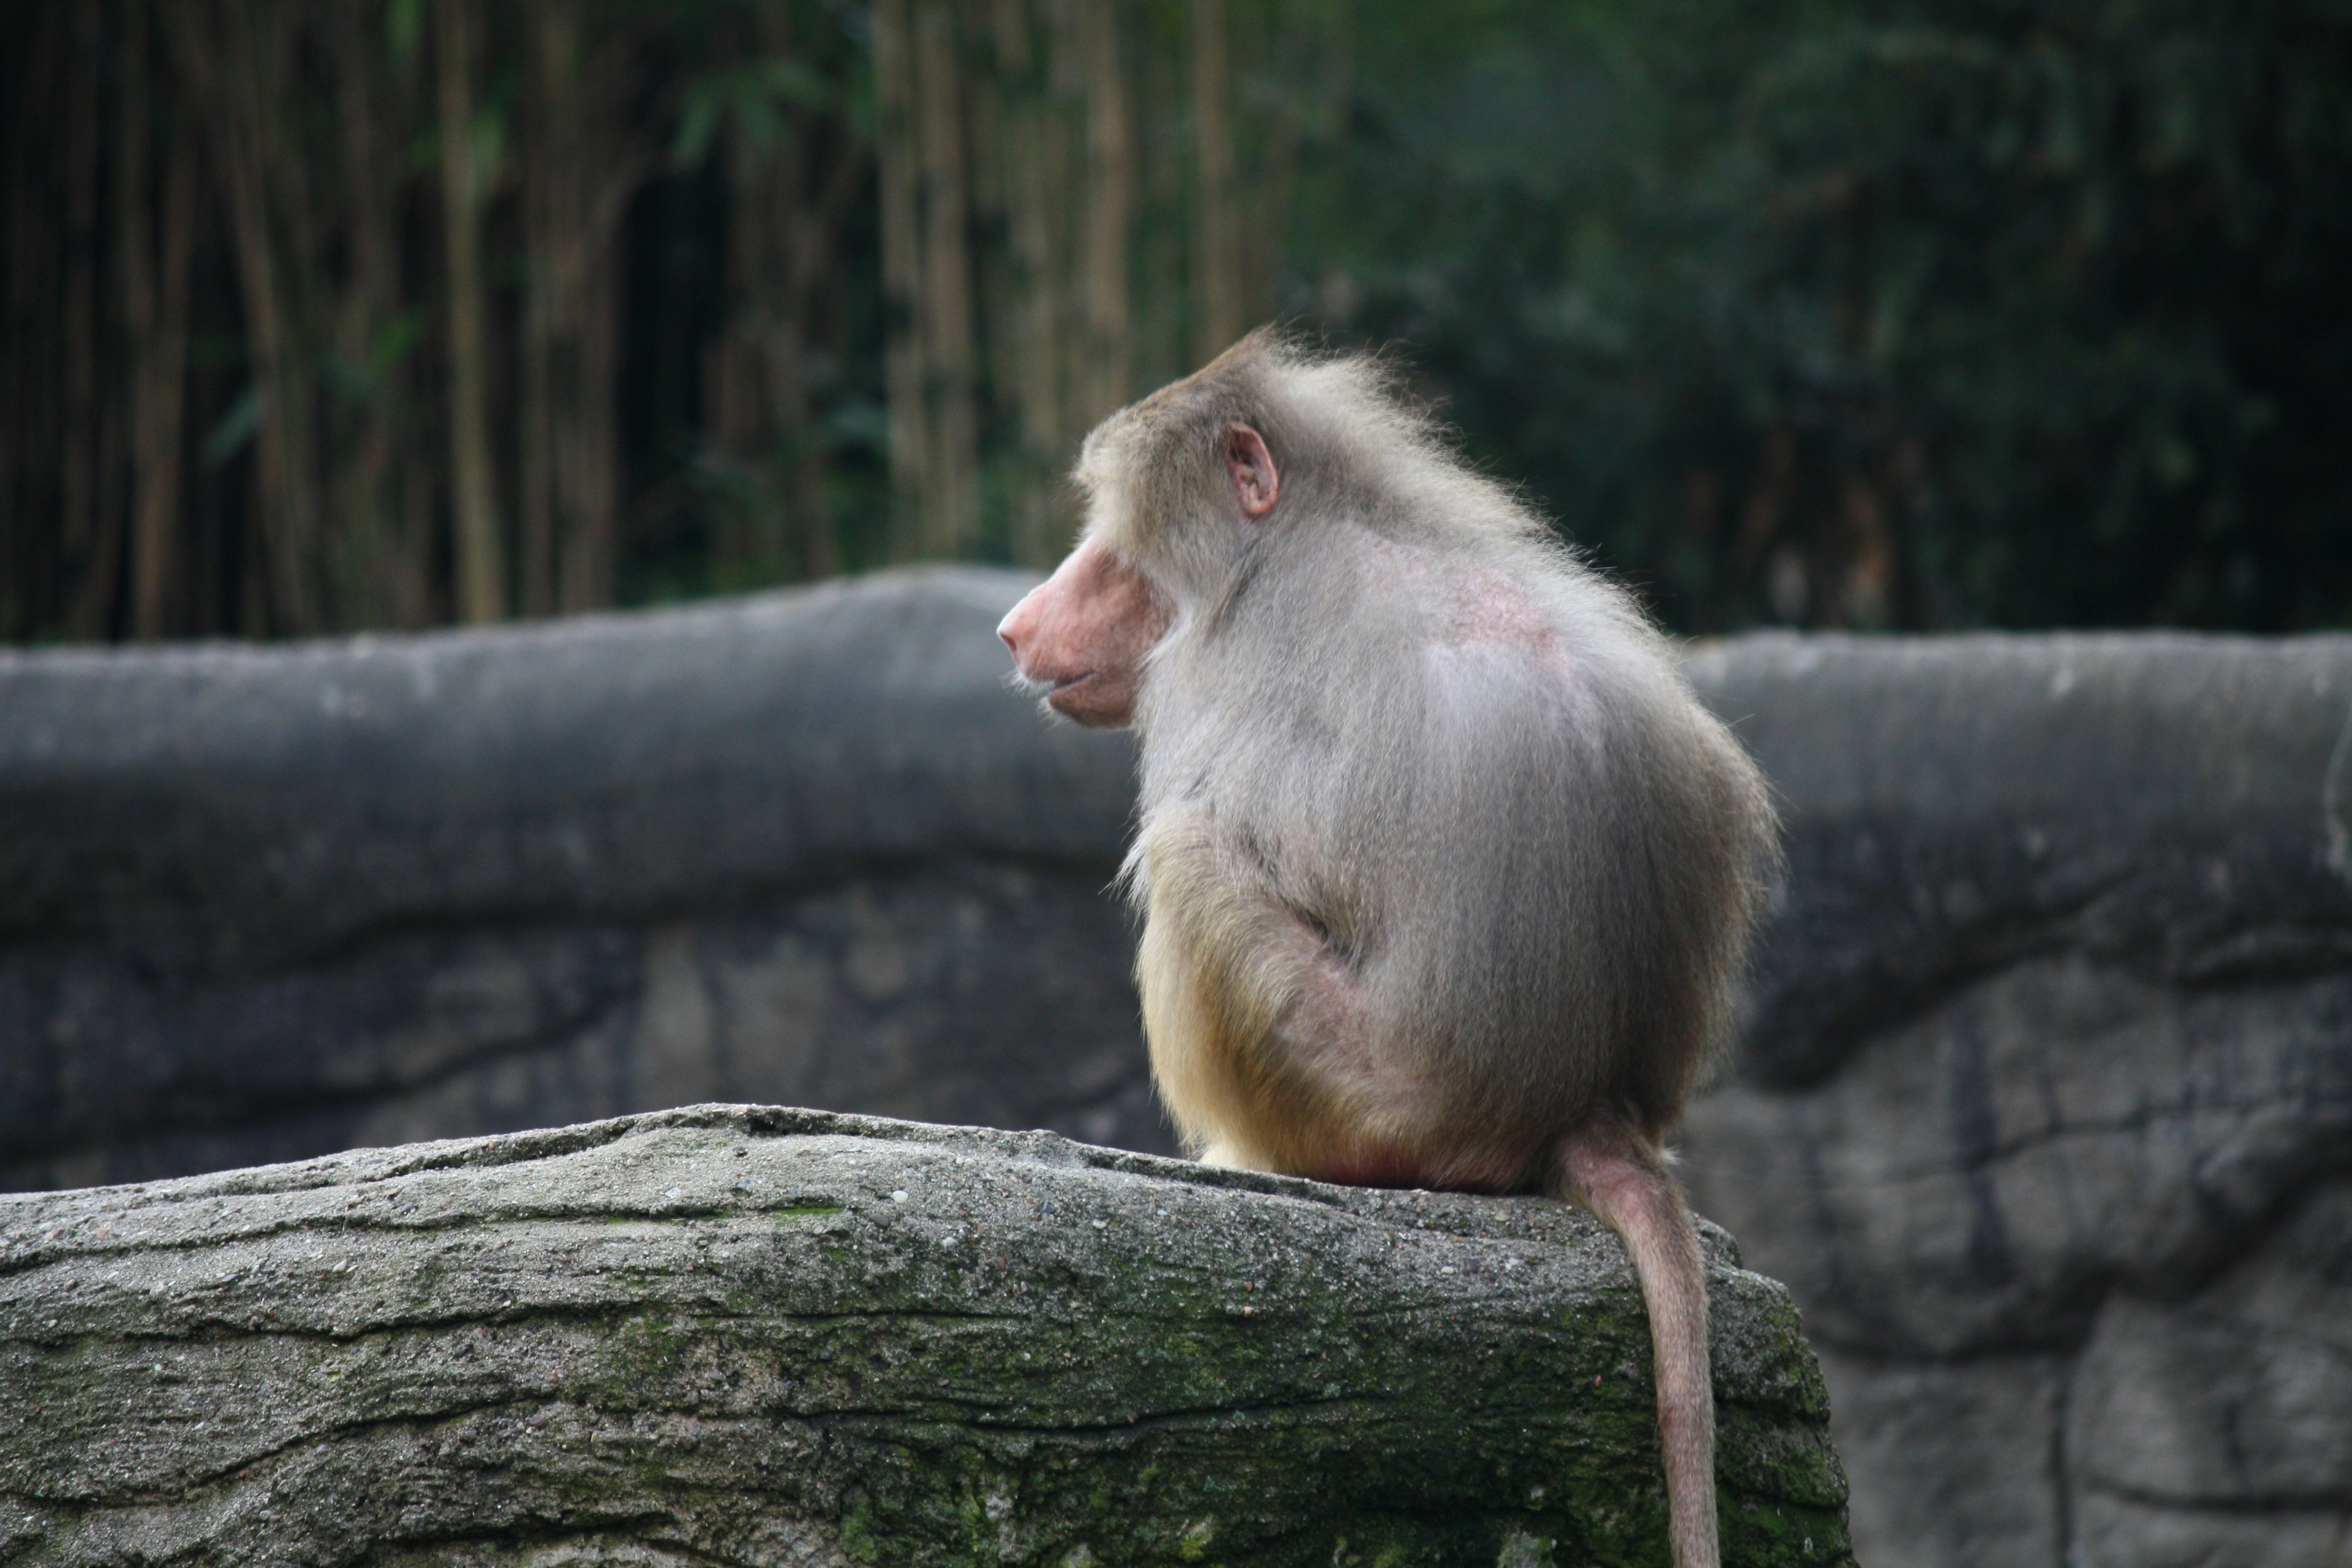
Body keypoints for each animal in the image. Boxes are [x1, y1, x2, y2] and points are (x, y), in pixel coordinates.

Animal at [996, 331, 1777, 1568]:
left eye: (1115, 551)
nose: (1016, 627)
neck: (1300, 530)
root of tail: (1581, 1103)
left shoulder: (1216, 674)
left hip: (1376, 1101)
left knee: (1187, 848)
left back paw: (1249, 1158)